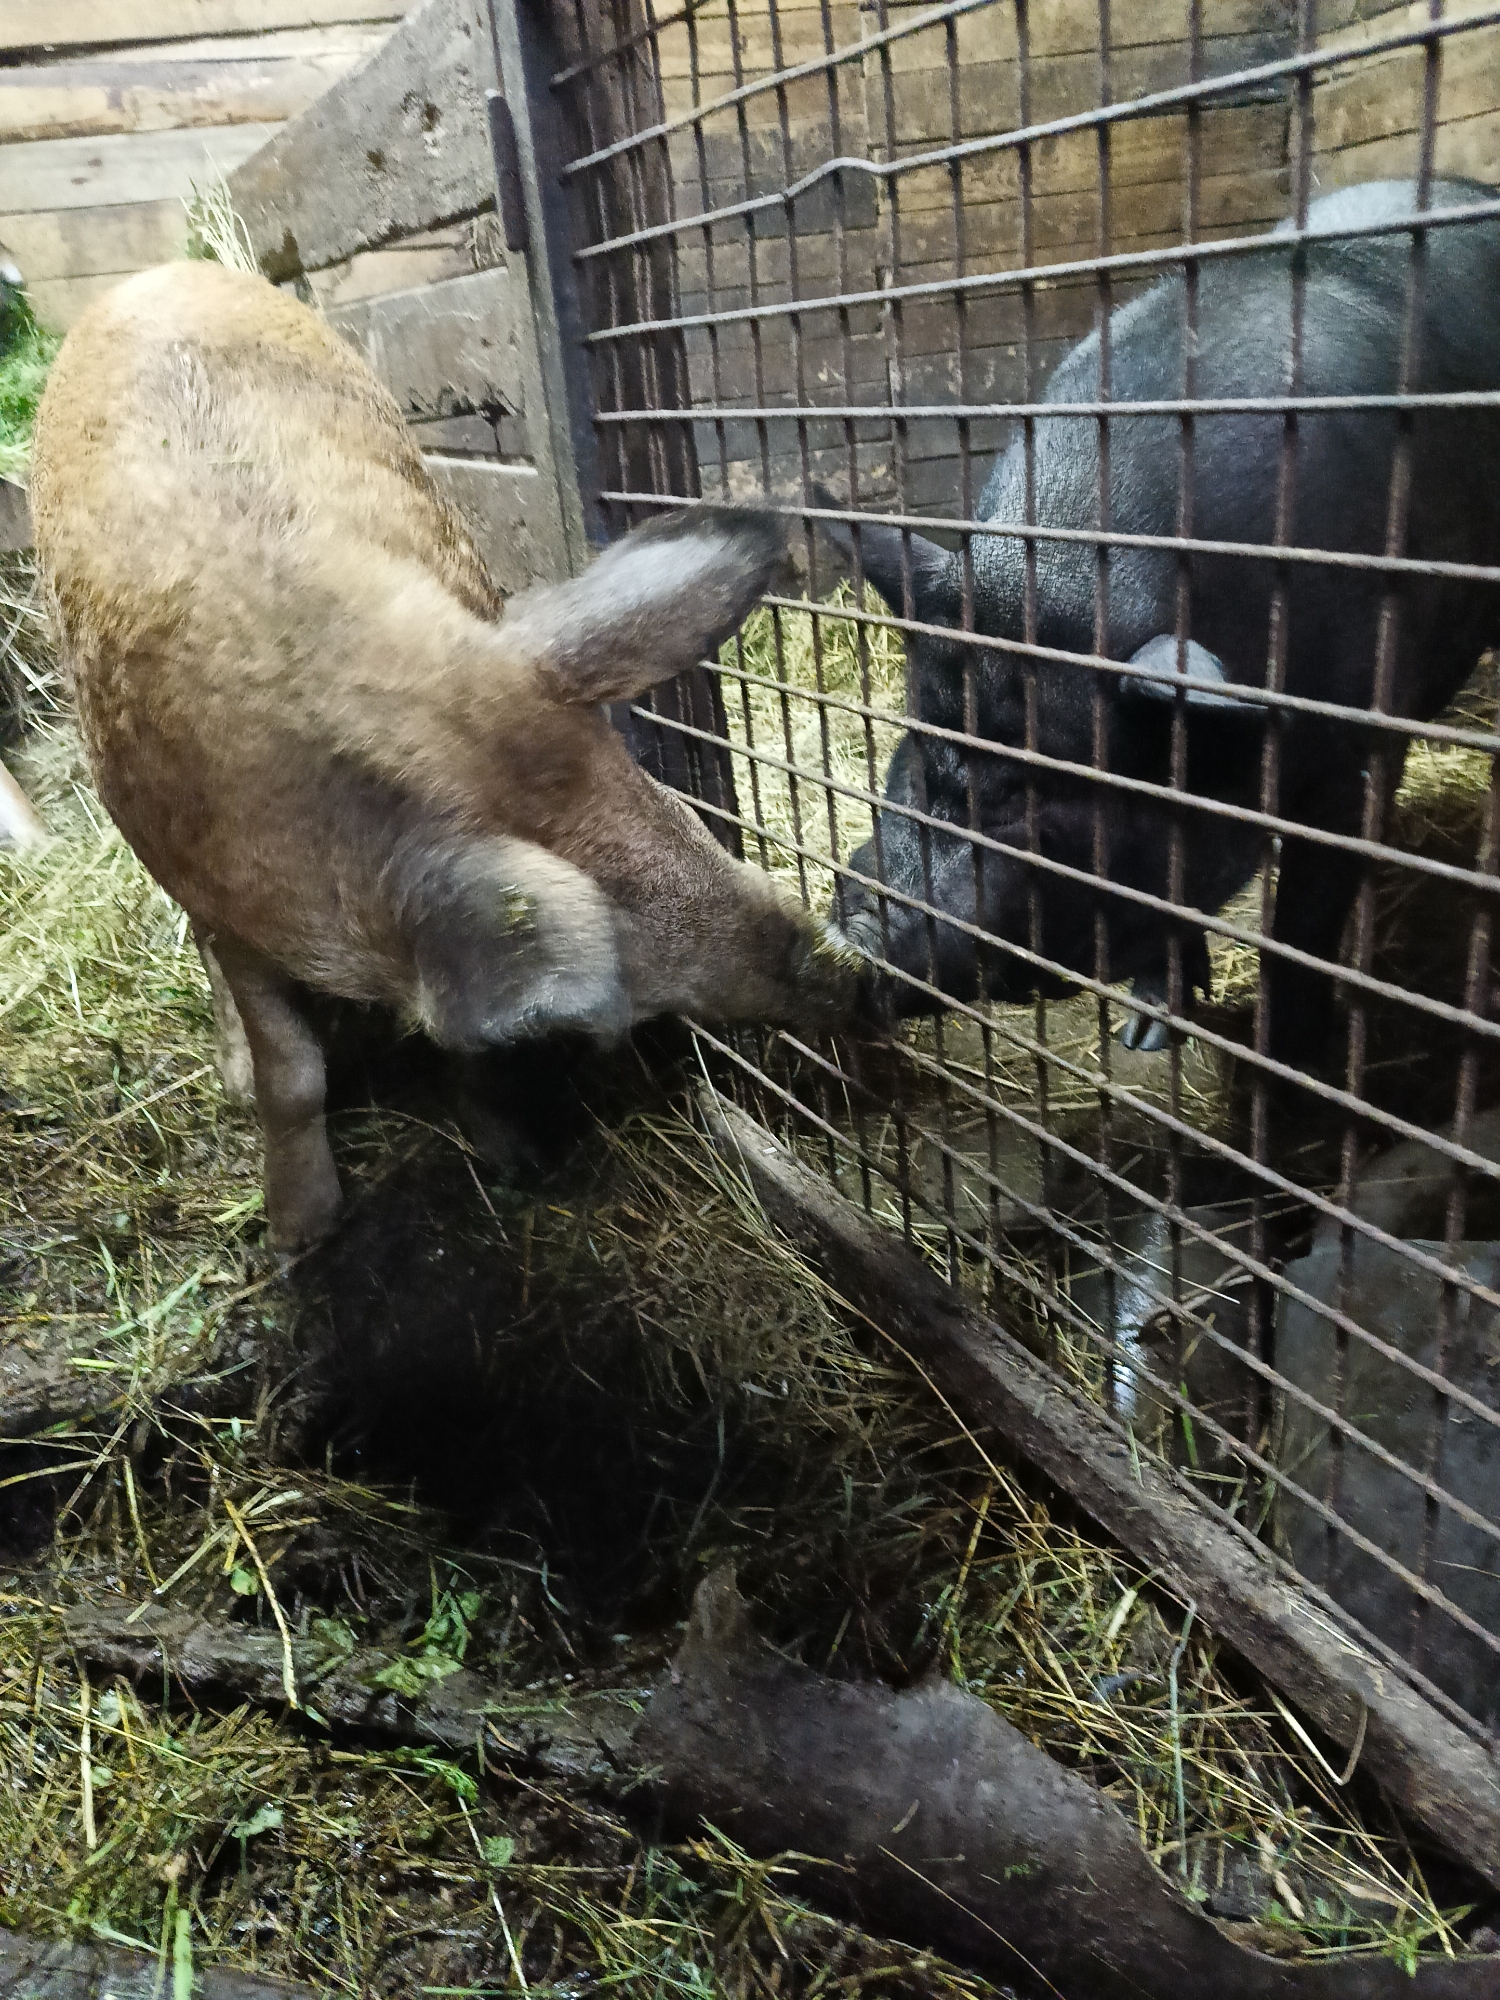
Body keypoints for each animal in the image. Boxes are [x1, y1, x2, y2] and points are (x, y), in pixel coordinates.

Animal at [29, 261, 860, 1249]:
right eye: (620, 966)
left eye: (682, 815)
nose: (858, 982)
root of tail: (161, 270)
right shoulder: (214, 895)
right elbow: (290, 1072)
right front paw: (297, 1239)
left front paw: (523, 1164)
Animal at [825, 179, 1500, 1058]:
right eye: (916, 743)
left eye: (1028, 794)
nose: (858, 921)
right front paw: (1145, 1032)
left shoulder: (1352, 756)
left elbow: (1303, 930)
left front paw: (1285, 1067)